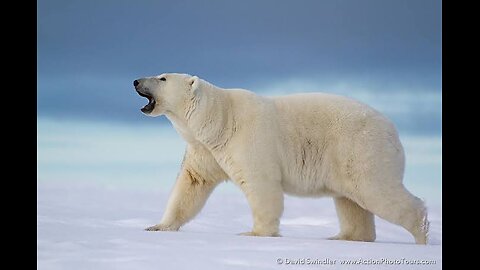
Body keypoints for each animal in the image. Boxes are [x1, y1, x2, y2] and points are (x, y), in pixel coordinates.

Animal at [133, 72, 430, 245]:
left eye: (162, 78)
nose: (136, 81)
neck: (220, 121)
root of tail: (393, 131)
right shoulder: (205, 150)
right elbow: (191, 184)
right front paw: (157, 226)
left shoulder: (249, 140)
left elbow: (261, 184)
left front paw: (255, 234)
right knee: (351, 202)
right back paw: (343, 237)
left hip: (361, 149)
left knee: (376, 191)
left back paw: (421, 235)